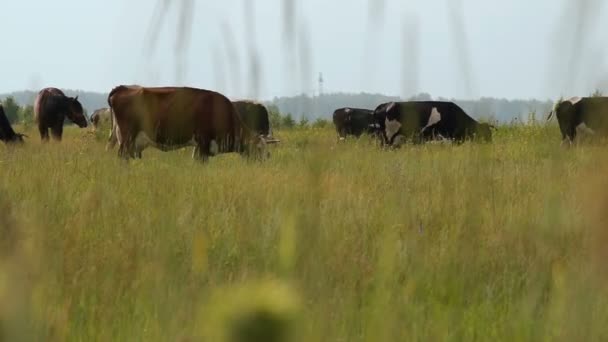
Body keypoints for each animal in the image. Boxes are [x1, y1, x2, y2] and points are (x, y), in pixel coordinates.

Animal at [107, 85, 274, 161]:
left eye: (268, 152)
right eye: (259, 149)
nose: (262, 164)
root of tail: (123, 88)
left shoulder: (199, 146)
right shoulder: (204, 142)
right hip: (127, 138)